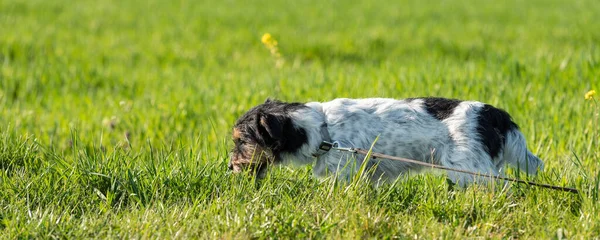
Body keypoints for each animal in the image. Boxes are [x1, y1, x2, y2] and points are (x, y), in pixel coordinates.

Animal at [226, 97, 544, 186]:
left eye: (241, 141)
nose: (229, 167)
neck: (324, 130)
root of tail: (495, 114)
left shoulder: (343, 172)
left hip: (471, 168)